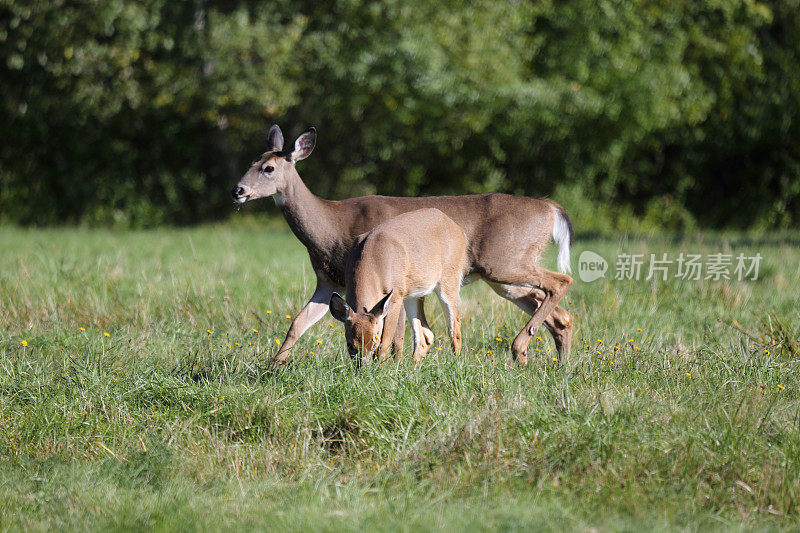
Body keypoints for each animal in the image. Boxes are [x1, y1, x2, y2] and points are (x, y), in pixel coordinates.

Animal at [330, 207, 468, 362]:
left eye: (374, 341)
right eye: (350, 345)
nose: (362, 367)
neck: (375, 263)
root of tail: (460, 230)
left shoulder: (395, 297)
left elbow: (385, 343)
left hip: (449, 281)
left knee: (455, 327)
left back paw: (457, 363)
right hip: (412, 295)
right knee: (425, 335)